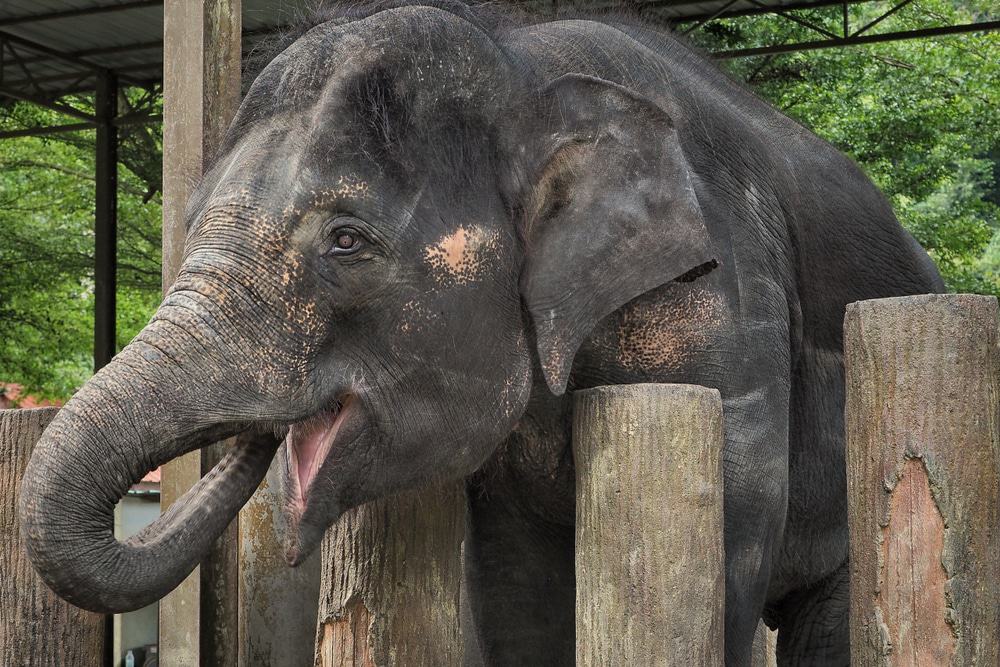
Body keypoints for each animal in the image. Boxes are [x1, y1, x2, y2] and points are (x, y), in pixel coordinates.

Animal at [20, 2, 944, 665]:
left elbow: (721, 564)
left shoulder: (717, 298)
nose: (254, 435)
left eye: (345, 240)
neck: (521, 67)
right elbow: (514, 589)